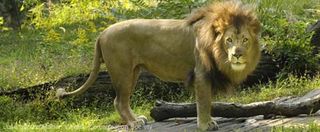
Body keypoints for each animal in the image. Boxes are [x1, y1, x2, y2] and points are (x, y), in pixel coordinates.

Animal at [56, 0, 262, 131]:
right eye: (229, 40)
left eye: (245, 40)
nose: (237, 54)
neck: (217, 49)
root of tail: (102, 33)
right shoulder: (201, 73)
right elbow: (204, 102)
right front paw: (206, 125)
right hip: (122, 72)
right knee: (118, 101)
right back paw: (133, 124)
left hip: (133, 72)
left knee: (123, 100)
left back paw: (137, 120)